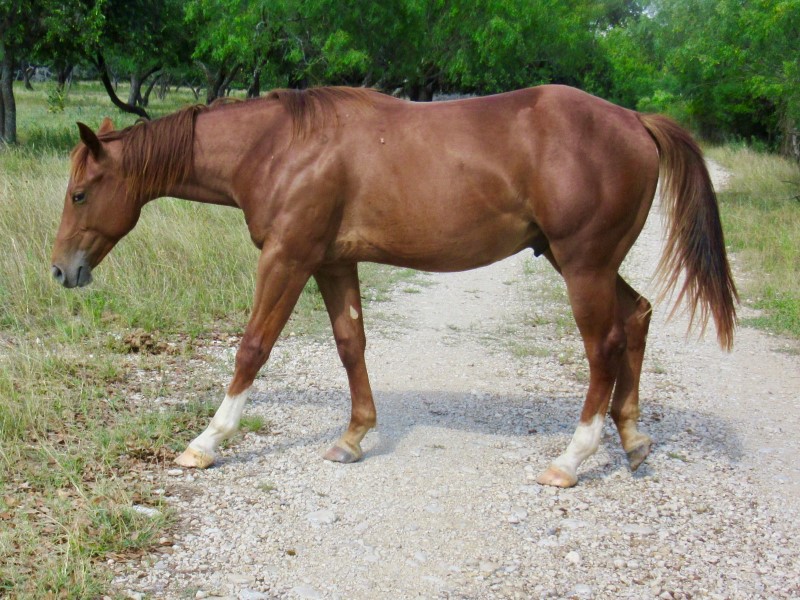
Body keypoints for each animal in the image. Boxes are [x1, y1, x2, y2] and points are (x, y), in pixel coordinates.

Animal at [51, 84, 736, 488]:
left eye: (80, 193)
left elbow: (252, 348)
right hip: (578, 261)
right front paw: (352, 438)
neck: (280, 146)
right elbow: (350, 345)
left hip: (582, 265)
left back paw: (572, 458)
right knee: (638, 316)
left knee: (603, 348)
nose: (61, 271)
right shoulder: (331, 263)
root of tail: (634, 120)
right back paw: (633, 438)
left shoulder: (288, 258)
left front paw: (206, 442)